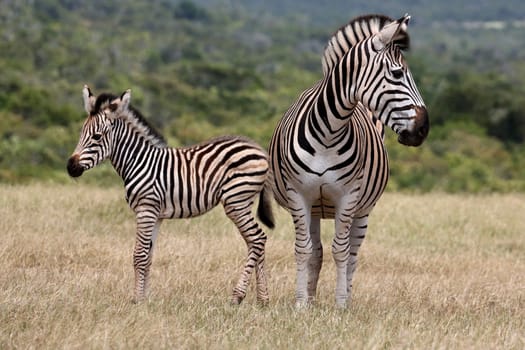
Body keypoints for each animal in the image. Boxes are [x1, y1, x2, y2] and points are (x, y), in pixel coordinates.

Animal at [66, 86, 274, 304]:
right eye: (81, 133)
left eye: (97, 137)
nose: (70, 167)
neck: (138, 161)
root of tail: (259, 149)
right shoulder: (155, 214)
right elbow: (148, 256)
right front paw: (145, 298)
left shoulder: (146, 209)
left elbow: (139, 255)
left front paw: (136, 300)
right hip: (243, 202)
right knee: (255, 242)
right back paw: (263, 299)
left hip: (236, 201)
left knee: (257, 239)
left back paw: (237, 296)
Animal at [268, 15, 428, 308]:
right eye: (397, 74)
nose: (423, 129)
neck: (328, 131)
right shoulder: (299, 194)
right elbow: (304, 249)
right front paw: (301, 303)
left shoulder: (348, 196)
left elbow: (341, 251)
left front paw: (341, 304)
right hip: (315, 208)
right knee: (317, 250)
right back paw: (312, 297)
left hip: (363, 211)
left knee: (353, 253)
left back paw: (347, 297)